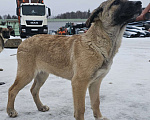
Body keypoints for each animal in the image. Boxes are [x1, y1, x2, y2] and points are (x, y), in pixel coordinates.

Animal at [7, 0, 142, 119]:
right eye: (116, 2)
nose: (140, 3)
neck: (98, 44)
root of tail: (24, 41)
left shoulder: (95, 82)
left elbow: (96, 103)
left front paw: (99, 117)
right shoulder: (79, 82)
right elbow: (80, 109)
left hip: (42, 74)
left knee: (34, 90)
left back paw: (40, 107)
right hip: (26, 74)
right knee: (12, 90)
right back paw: (11, 111)